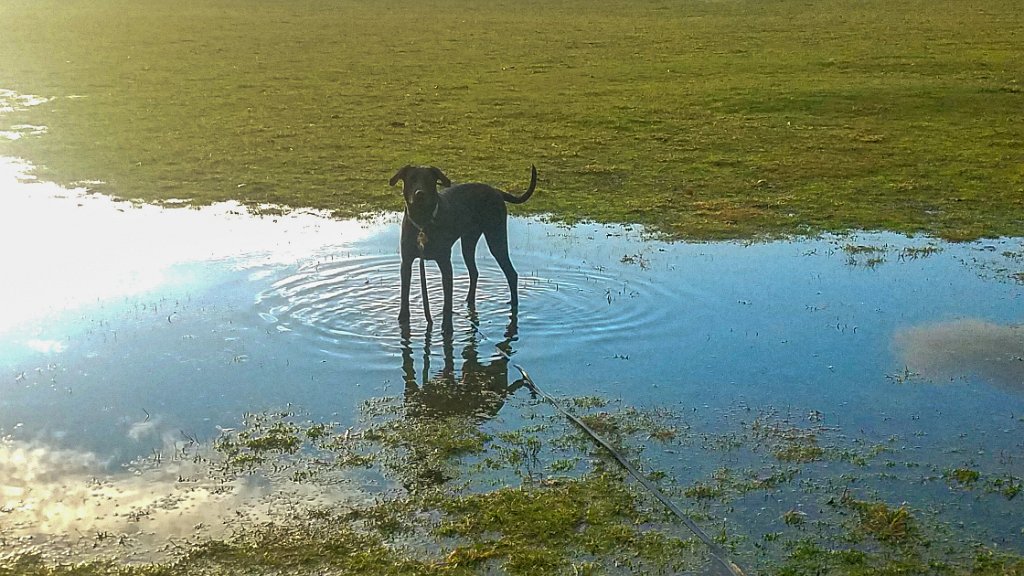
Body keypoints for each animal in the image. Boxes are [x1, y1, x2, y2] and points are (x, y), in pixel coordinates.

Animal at [389, 163, 536, 325]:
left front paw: (446, 324)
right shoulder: (406, 262)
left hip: (496, 238)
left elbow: (447, 301)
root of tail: (496, 191)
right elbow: (404, 293)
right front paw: (403, 318)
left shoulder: (445, 263)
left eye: (429, 180)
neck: (423, 222)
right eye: (412, 179)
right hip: (468, 241)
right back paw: (469, 301)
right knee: (474, 272)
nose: (419, 194)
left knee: (511, 273)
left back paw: (514, 306)